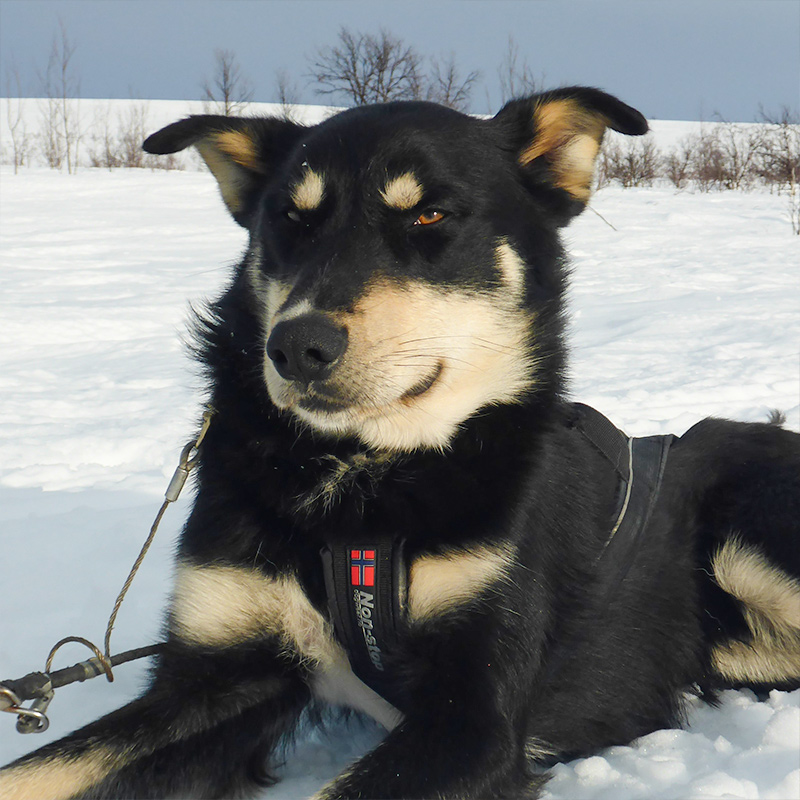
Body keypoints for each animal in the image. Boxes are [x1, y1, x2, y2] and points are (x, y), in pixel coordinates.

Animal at [4, 87, 800, 800]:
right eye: (289, 220)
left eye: (430, 213)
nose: (294, 346)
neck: (362, 481)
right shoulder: (214, 675)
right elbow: (43, 769)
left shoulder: (472, 716)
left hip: (745, 540)